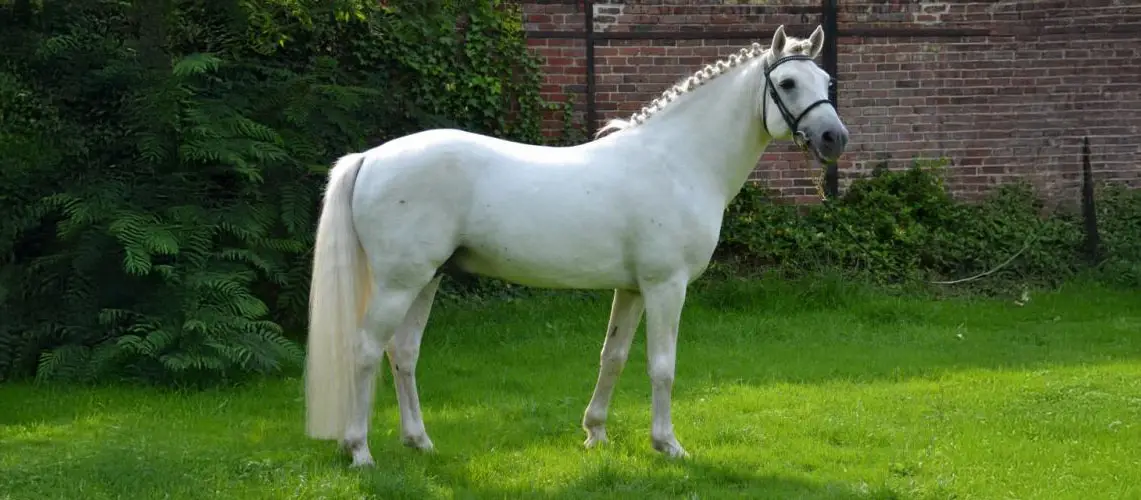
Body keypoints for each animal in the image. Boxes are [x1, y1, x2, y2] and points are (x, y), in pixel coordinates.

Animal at [304, 24, 850, 467]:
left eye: (826, 83)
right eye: (787, 84)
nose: (834, 139)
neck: (677, 161)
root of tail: (370, 156)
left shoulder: (632, 289)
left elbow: (613, 357)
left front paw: (595, 433)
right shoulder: (665, 287)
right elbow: (662, 367)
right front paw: (668, 445)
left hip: (426, 279)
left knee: (403, 352)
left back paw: (419, 442)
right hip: (399, 283)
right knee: (366, 349)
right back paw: (359, 450)